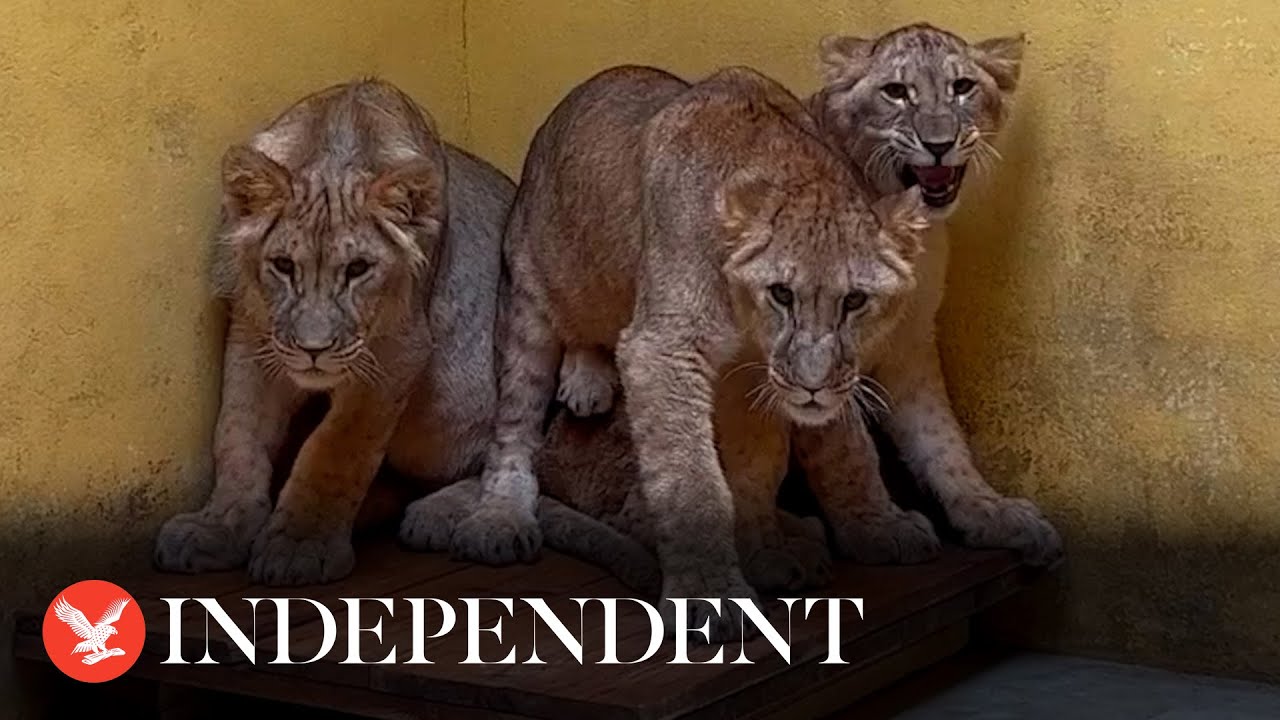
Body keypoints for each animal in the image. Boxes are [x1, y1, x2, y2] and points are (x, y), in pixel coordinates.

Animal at [152, 79, 515, 586]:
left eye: (358, 269)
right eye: (283, 266)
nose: (314, 350)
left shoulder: (398, 350)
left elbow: (336, 446)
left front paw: (301, 543)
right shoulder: (253, 335)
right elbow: (236, 432)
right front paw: (219, 525)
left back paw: (440, 514)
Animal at [407, 65, 929, 640]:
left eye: (856, 300)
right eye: (781, 294)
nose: (811, 386)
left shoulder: (756, 382)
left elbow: (799, 460)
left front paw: (811, 543)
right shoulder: (663, 350)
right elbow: (691, 477)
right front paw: (714, 596)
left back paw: (587, 382)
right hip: (530, 296)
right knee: (515, 429)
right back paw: (500, 517)